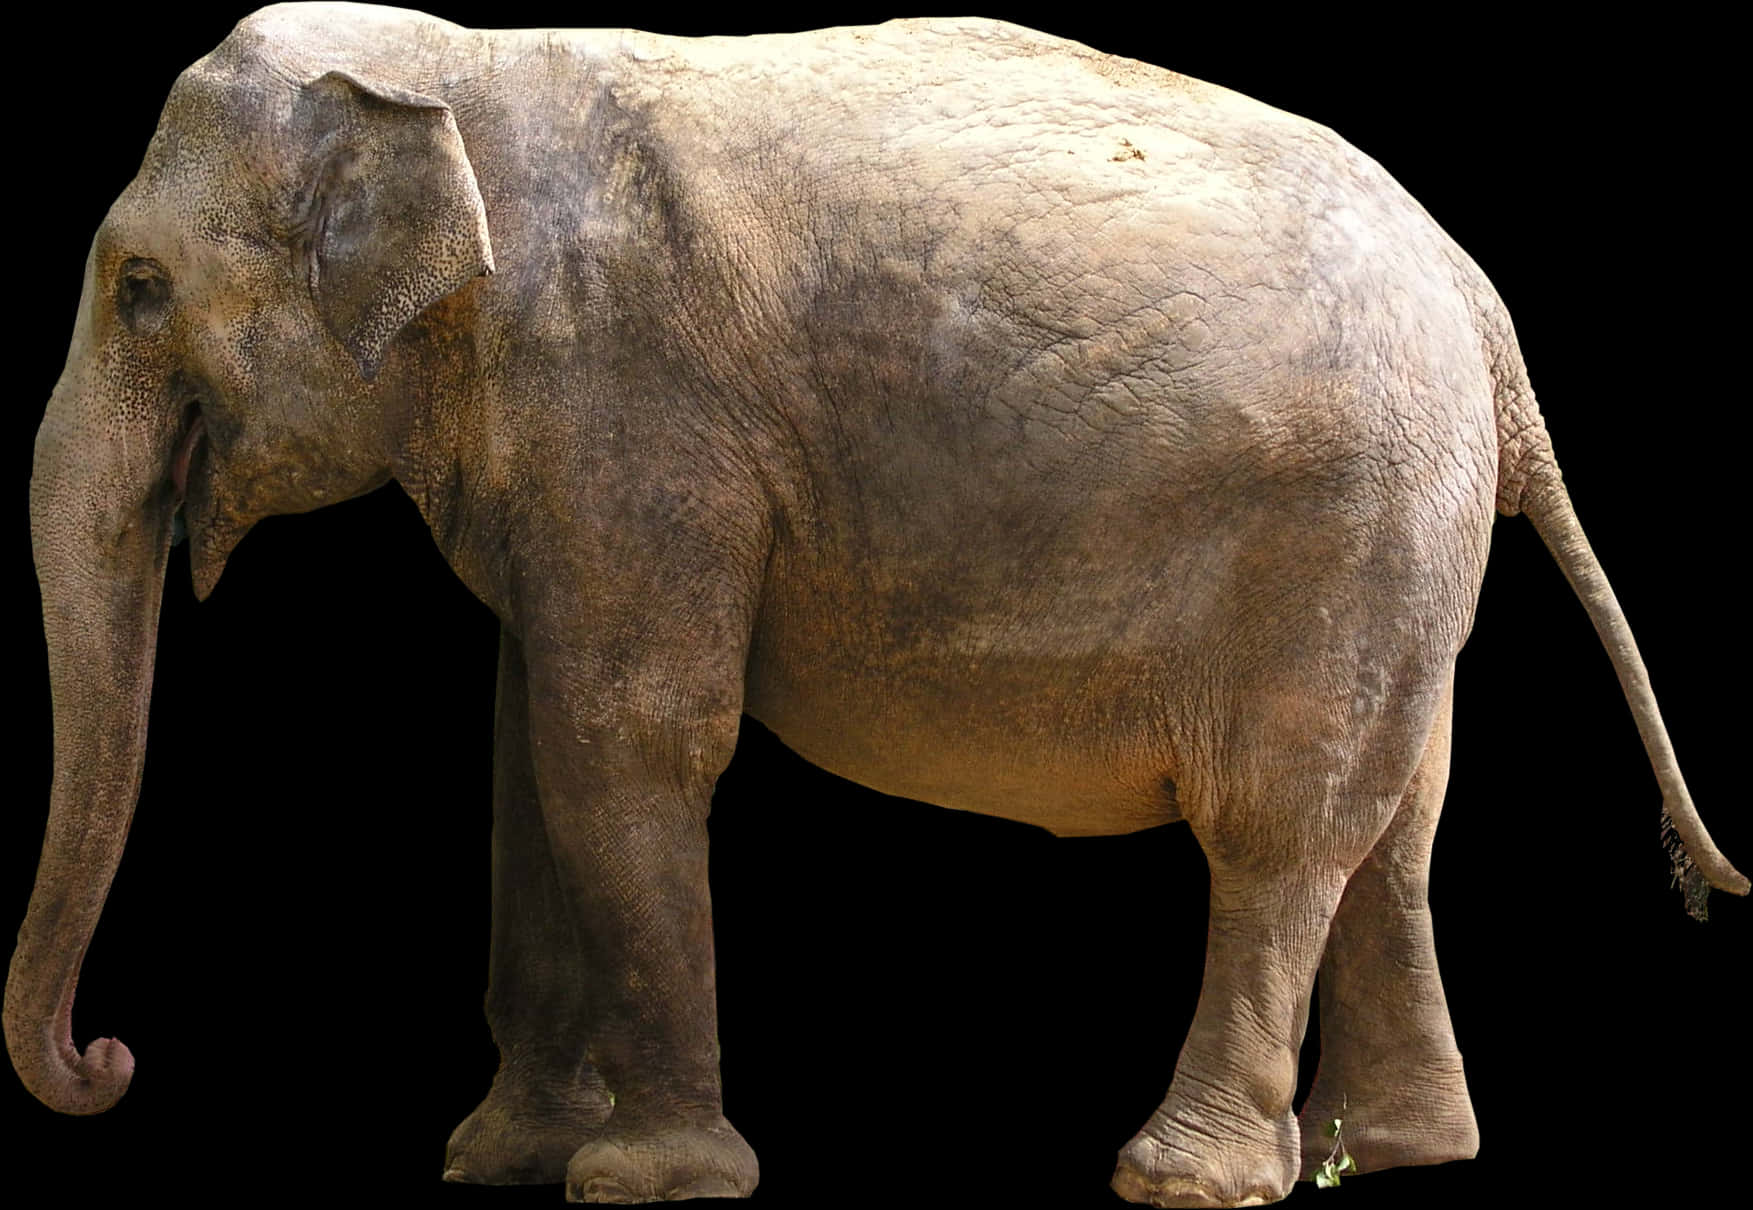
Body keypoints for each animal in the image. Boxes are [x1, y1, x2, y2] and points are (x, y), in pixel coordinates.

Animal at [6, 2, 1745, 1199]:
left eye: (139, 288)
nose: (113, 1057)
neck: (462, 61)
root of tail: (1482, 306)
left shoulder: (633, 413)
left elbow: (625, 739)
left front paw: (645, 1181)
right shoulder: (568, 471)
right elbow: (532, 747)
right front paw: (499, 1160)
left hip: (1341, 528)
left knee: (1281, 827)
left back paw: (1184, 1180)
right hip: (1403, 548)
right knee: (1397, 829)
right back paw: (1382, 1154)